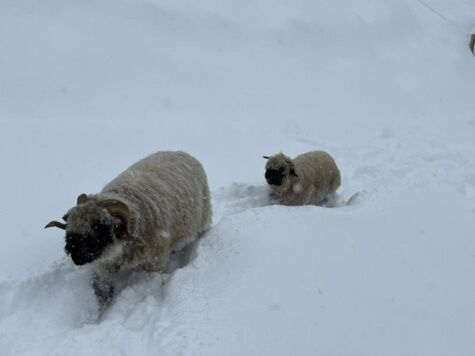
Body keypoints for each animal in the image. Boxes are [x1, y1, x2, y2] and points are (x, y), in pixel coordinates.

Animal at [45, 150, 212, 308]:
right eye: (68, 223)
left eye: (98, 226)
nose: (75, 255)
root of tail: (180, 152)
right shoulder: (104, 264)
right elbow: (103, 292)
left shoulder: (155, 263)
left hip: (203, 219)